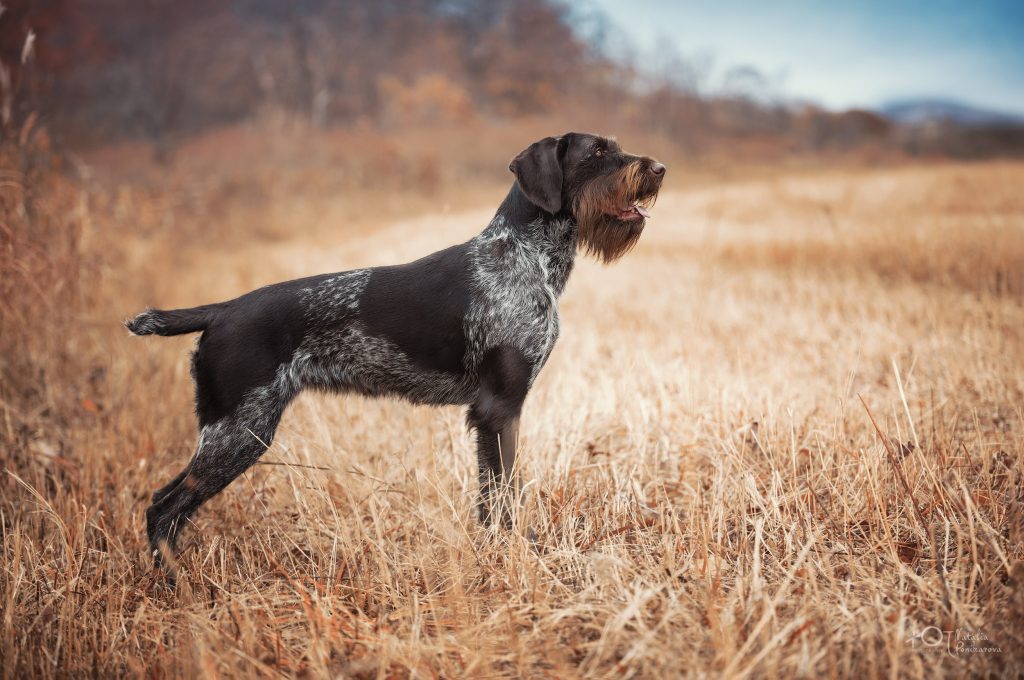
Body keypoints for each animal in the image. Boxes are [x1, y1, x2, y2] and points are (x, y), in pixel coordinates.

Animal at [125, 134, 663, 561]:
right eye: (597, 152)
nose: (658, 169)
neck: (526, 256)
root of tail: (223, 310)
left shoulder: (496, 412)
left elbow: (497, 493)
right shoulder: (500, 407)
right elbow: (503, 492)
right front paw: (513, 553)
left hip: (231, 433)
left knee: (165, 507)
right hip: (238, 431)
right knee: (162, 508)